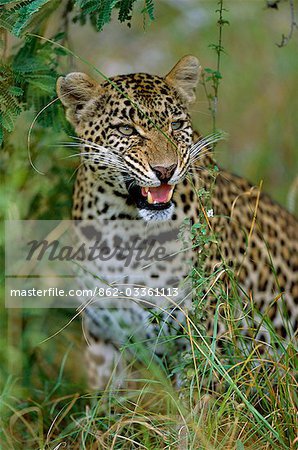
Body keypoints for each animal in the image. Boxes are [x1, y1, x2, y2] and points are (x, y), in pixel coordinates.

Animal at [56, 54, 298, 388]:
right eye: (127, 130)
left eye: (175, 125)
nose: (166, 170)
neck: (123, 226)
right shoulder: (103, 340)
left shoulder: (208, 339)